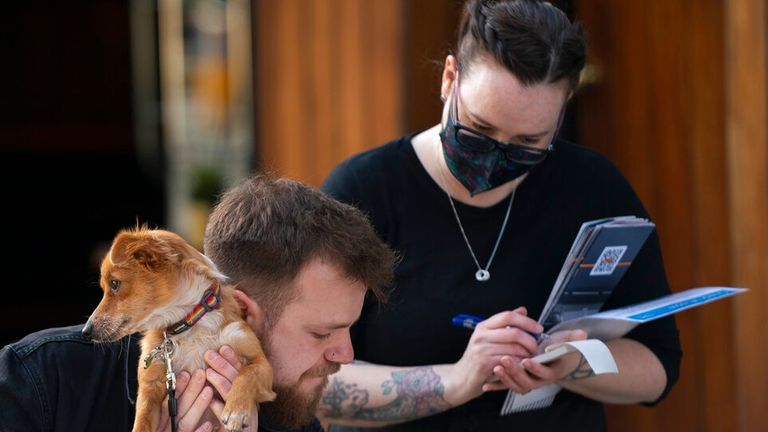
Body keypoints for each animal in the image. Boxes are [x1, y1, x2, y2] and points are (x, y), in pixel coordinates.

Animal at [83, 226, 276, 432]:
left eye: (114, 283)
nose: (86, 331)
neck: (187, 324)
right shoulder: (151, 383)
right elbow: (142, 422)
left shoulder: (259, 360)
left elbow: (248, 373)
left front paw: (236, 410)